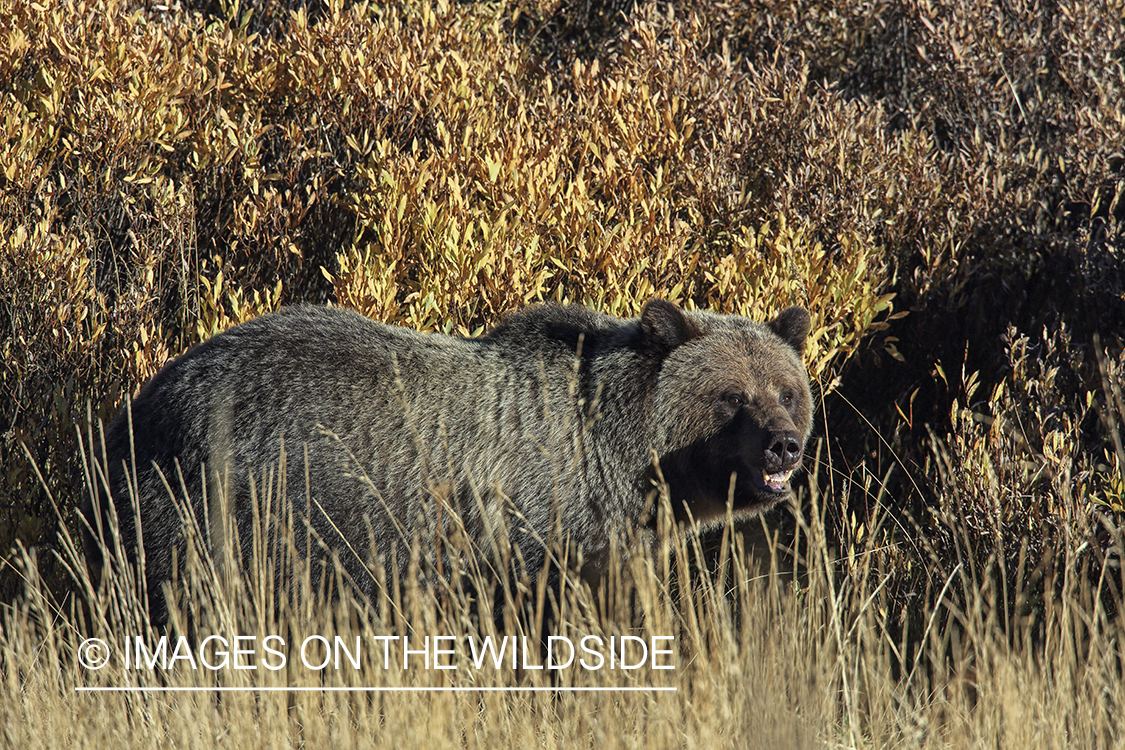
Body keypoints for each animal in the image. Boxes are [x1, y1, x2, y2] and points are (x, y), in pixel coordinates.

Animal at [83, 301, 814, 620]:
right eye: (731, 397)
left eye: (786, 390)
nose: (784, 443)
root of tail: (138, 406)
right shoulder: (535, 535)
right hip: (221, 516)